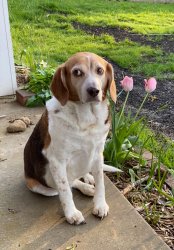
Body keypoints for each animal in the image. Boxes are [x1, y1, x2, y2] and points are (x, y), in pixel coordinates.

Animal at [24, 52, 117, 225]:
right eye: (77, 72)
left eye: (100, 70)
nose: (94, 90)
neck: (87, 119)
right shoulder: (57, 161)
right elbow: (65, 190)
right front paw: (71, 214)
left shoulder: (98, 153)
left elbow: (101, 182)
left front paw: (100, 204)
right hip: (39, 184)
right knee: (69, 183)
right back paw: (86, 188)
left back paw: (88, 180)